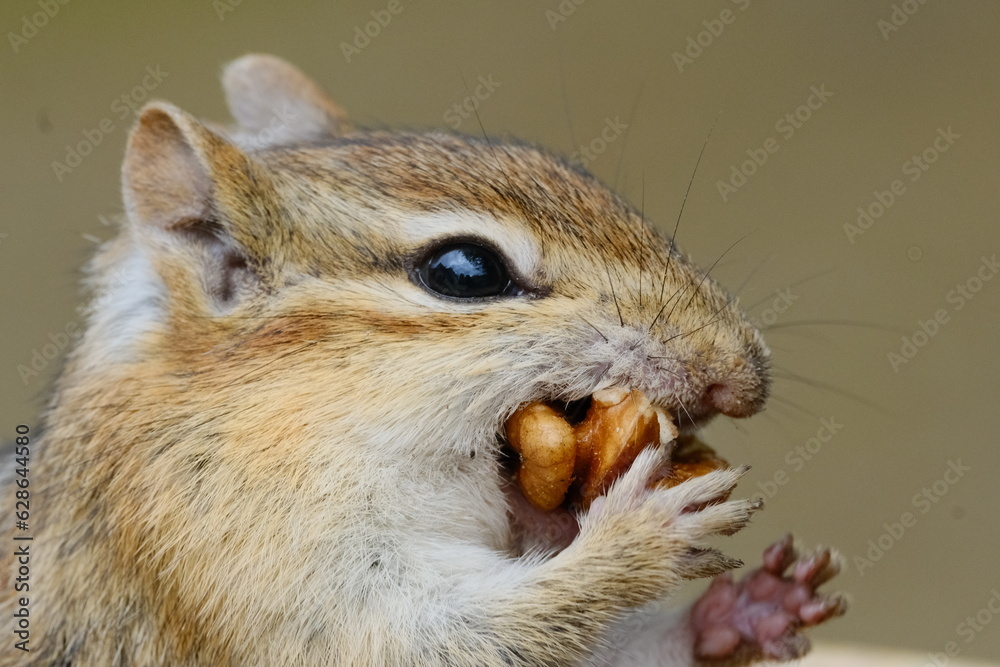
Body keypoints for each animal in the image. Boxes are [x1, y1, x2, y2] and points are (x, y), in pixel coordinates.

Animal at [0, 54, 845, 666]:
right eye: (464, 271)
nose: (743, 377)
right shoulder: (230, 552)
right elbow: (434, 641)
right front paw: (643, 529)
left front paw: (745, 609)